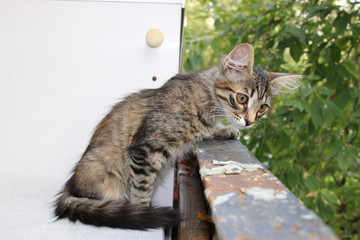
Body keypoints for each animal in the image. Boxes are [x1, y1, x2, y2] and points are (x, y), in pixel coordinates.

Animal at [53, 43, 300, 231]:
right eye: (241, 98)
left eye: (262, 108)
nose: (250, 121)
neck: (204, 101)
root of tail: (68, 186)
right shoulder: (144, 150)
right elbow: (141, 190)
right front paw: (143, 211)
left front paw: (223, 130)